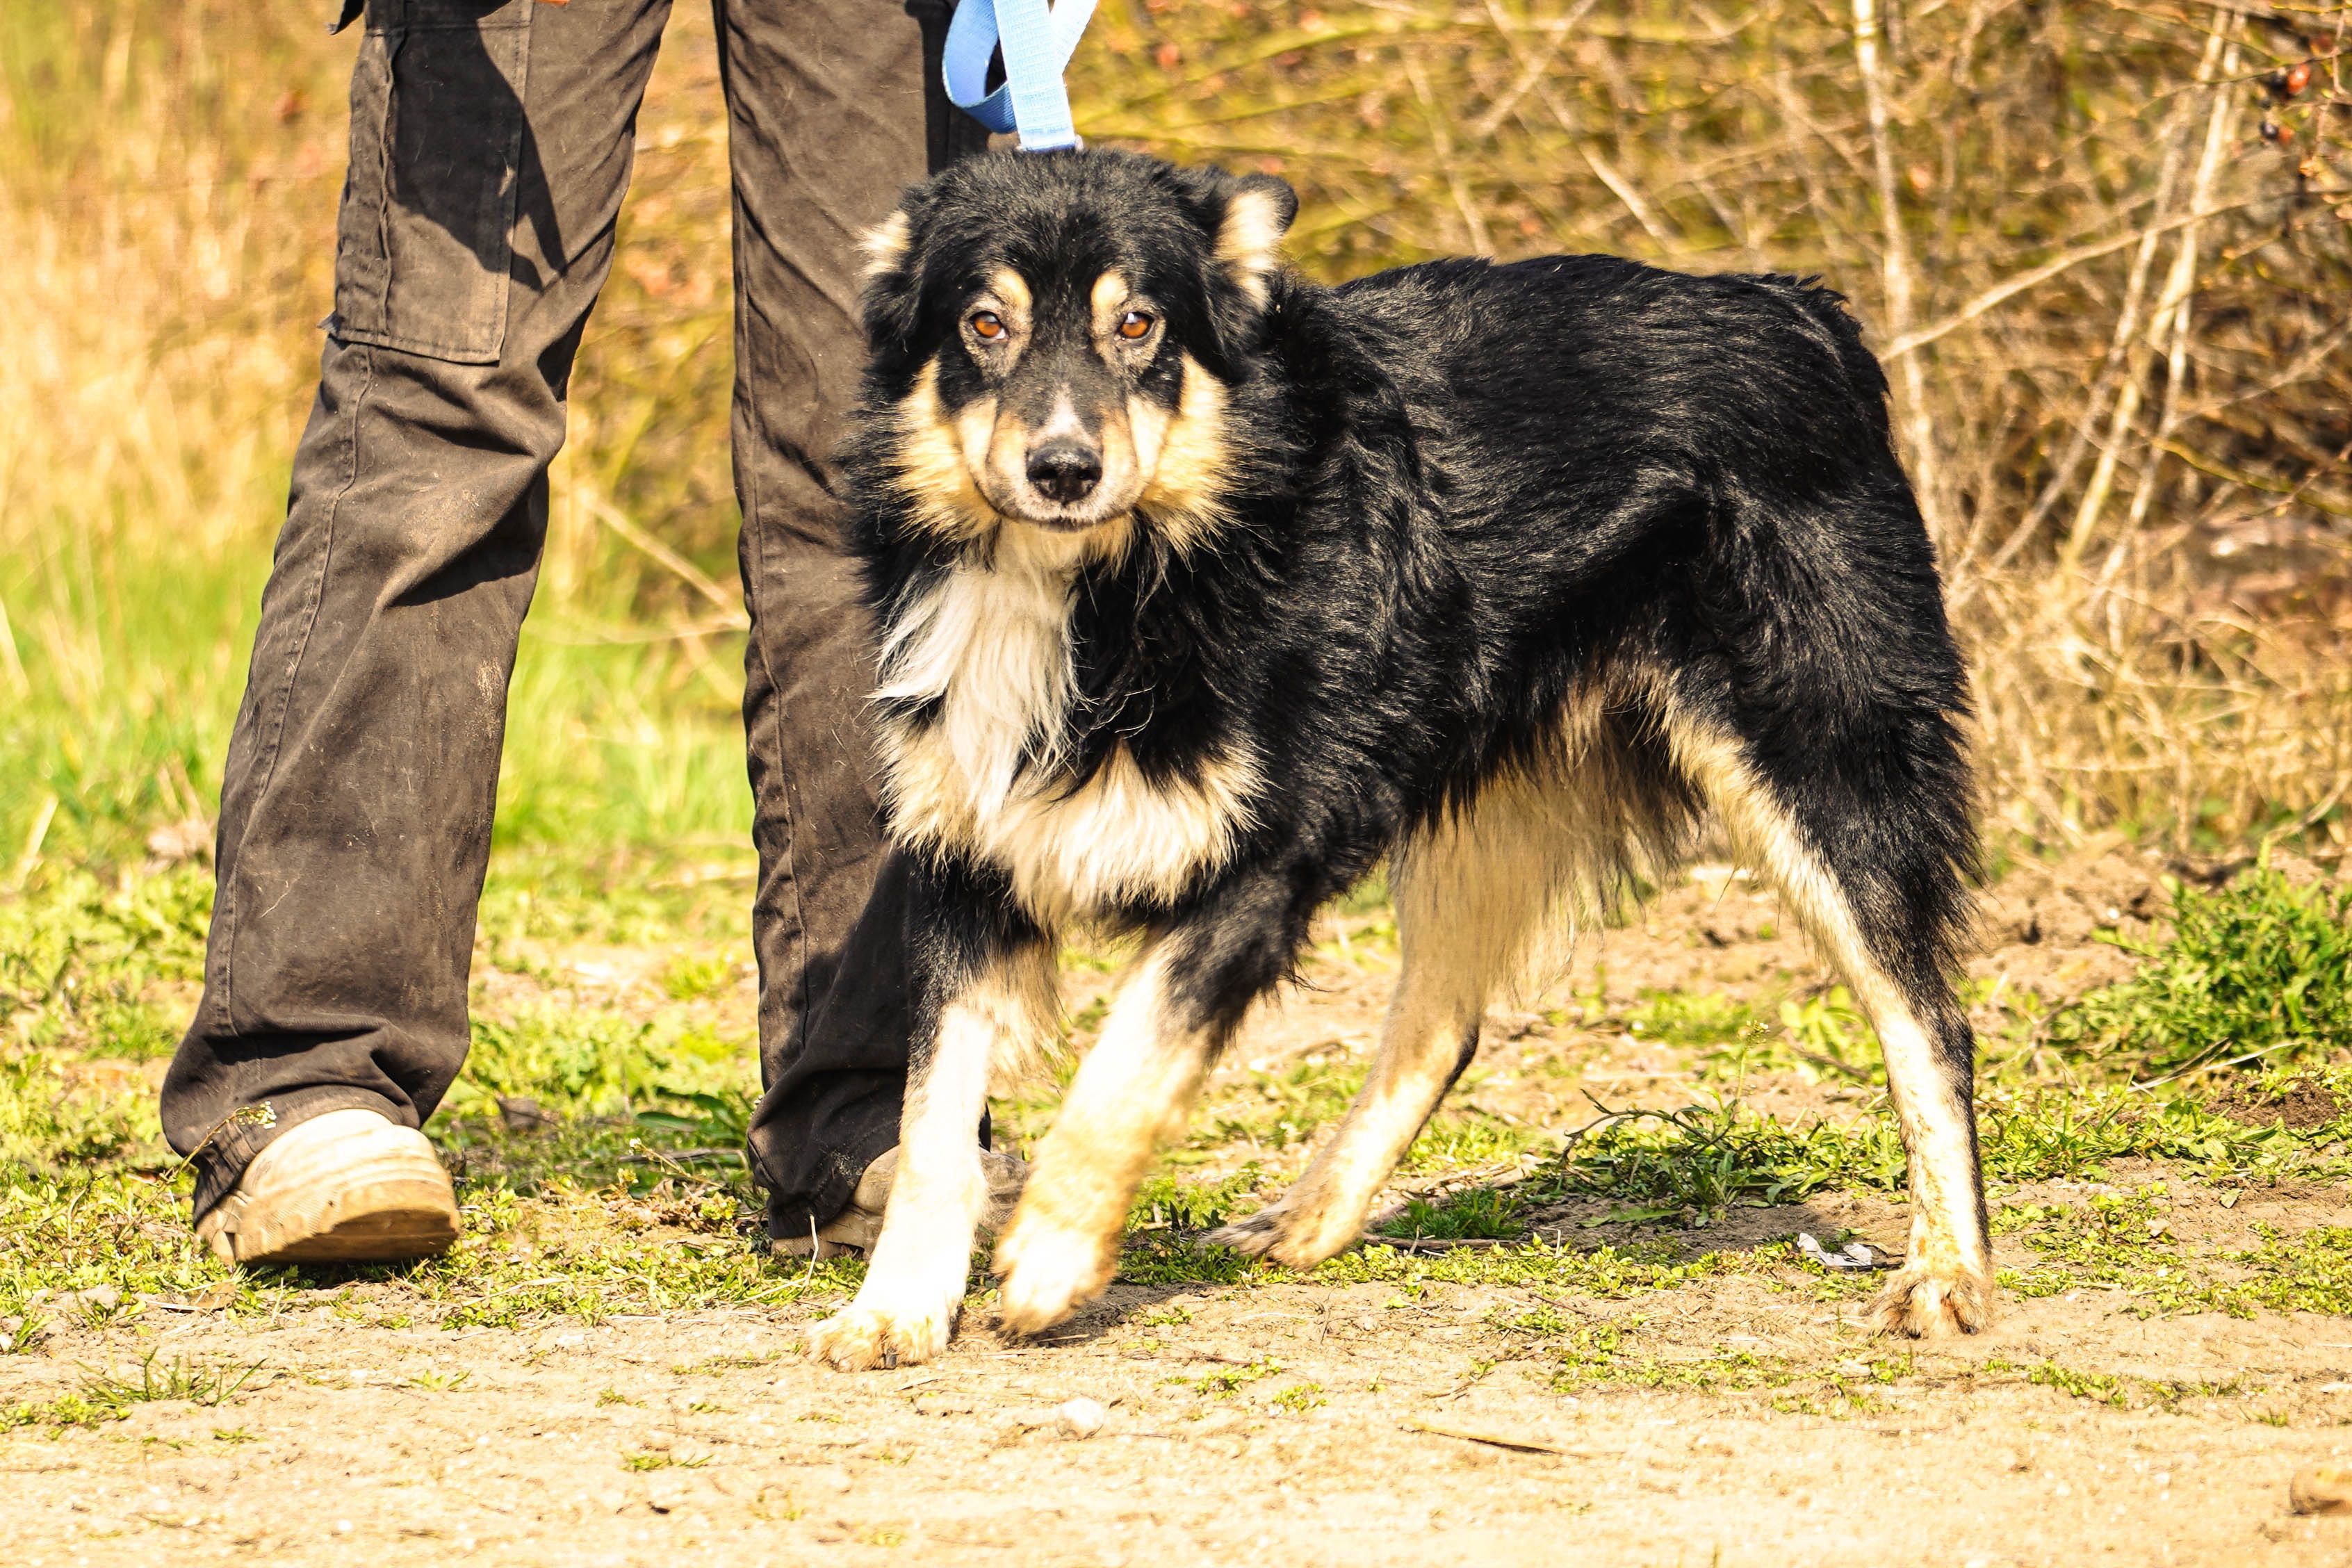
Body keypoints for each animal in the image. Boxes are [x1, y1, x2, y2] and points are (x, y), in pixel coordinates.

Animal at [804, 150, 1985, 1373]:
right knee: (1443, 1025)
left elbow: (1130, 1058)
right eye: (984, 325)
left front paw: (1051, 1253)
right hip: (1479, 795)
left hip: (1818, 761)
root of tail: (1803, 310)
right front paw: (896, 1306)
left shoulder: (1266, 856)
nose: (1064, 470)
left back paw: (1946, 1273)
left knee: (1929, 1020)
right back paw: (1307, 1216)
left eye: (1138, 324)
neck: (1125, 576)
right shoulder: (967, 851)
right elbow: (933, 1114)